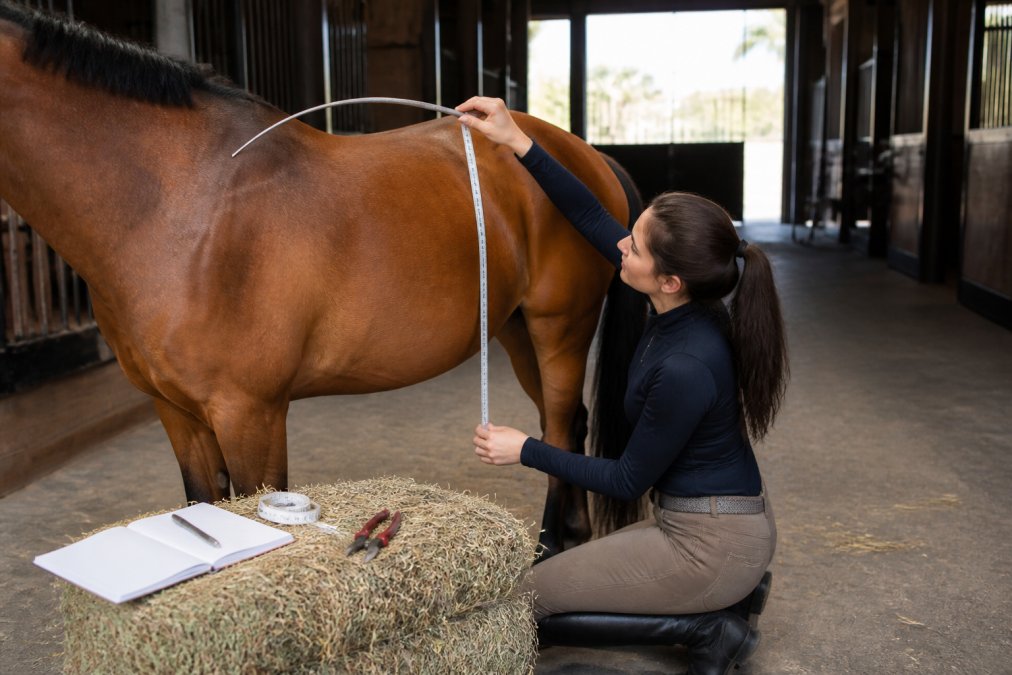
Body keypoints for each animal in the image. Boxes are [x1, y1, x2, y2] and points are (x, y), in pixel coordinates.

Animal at [0, 3, 643, 555]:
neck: (184, 205)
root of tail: (585, 157)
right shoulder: (176, 414)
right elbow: (204, 502)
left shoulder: (250, 414)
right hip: (514, 331)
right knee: (565, 428)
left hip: (559, 331)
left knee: (558, 431)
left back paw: (551, 546)